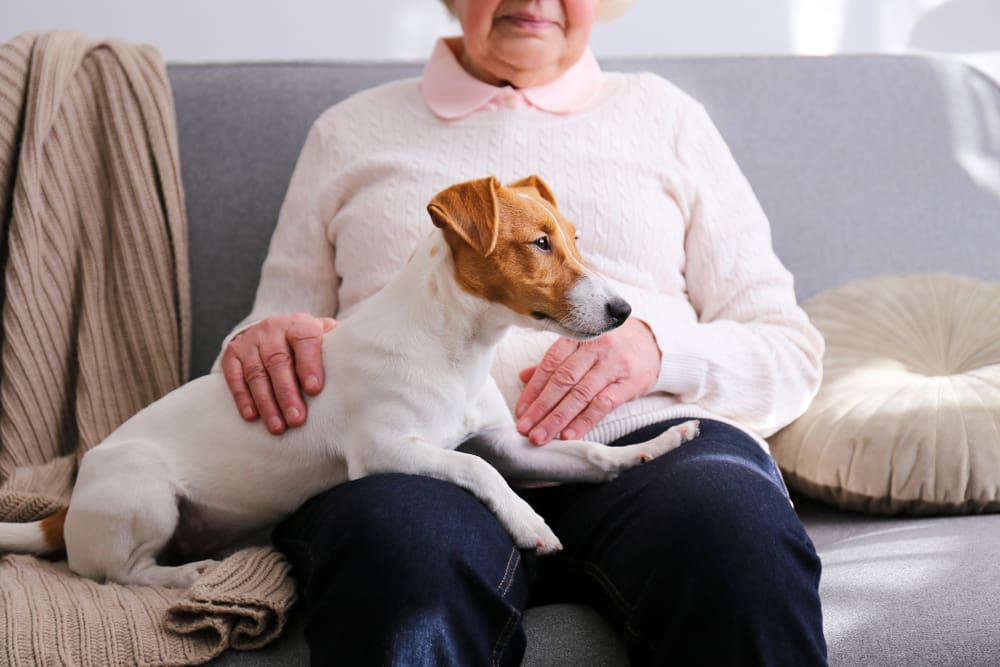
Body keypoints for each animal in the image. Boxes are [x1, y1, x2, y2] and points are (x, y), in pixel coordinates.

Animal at [0, 175, 700, 588]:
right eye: (540, 243)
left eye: (573, 239)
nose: (625, 312)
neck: (456, 347)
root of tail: (65, 511)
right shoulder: (388, 451)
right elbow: (476, 469)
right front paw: (529, 521)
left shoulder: (510, 443)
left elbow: (583, 455)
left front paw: (653, 447)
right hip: (144, 495)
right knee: (120, 574)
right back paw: (189, 575)